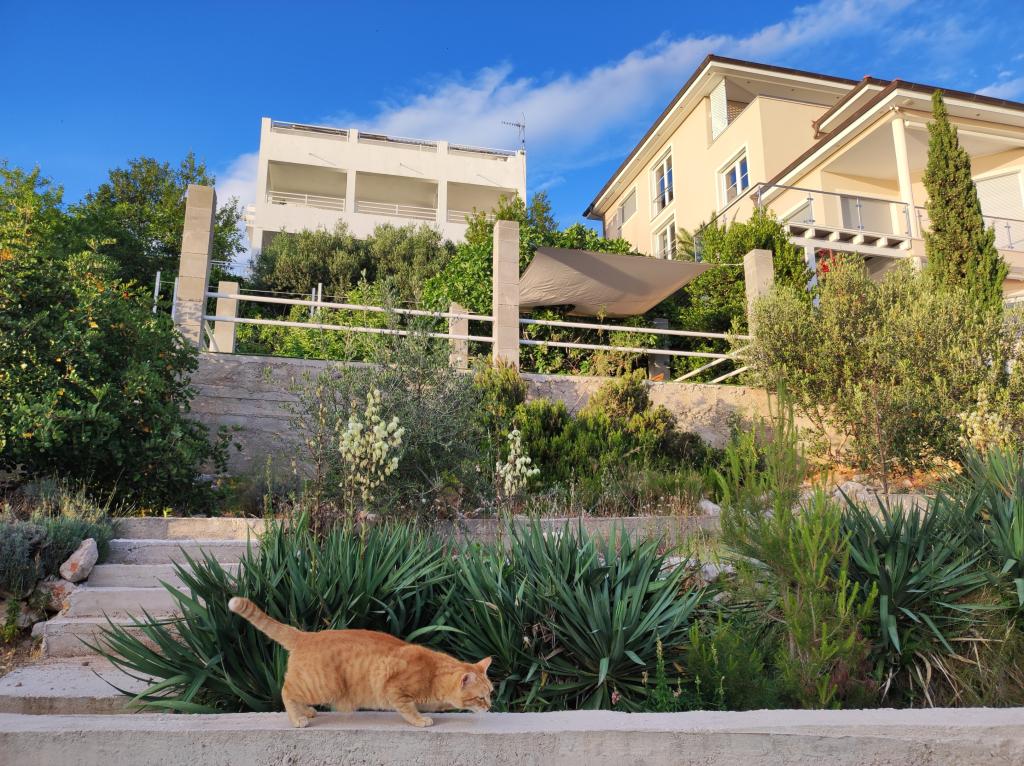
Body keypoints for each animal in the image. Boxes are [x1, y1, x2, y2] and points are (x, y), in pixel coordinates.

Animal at [228, 596, 493, 728]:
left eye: (490, 693)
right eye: (481, 697)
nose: (490, 707)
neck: (434, 674)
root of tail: (306, 635)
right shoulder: (392, 688)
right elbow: (408, 709)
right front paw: (420, 720)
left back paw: (307, 712)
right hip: (323, 687)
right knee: (286, 691)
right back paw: (298, 719)